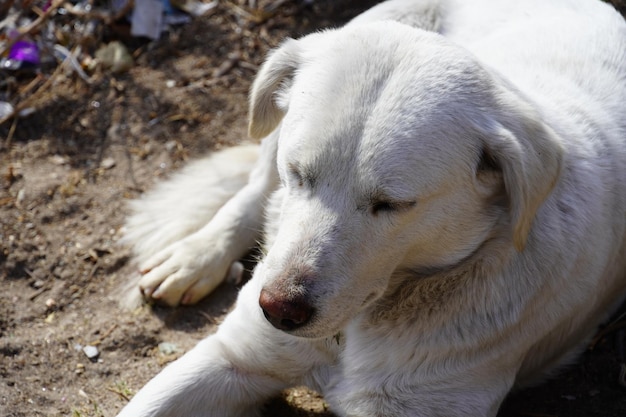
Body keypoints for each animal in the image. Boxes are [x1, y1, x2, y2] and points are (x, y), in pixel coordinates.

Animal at [118, 1, 624, 414]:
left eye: (391, 205)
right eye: (298, 172)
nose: (278, 310)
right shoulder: (234, 356)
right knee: (254, 191)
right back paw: (194, 258)